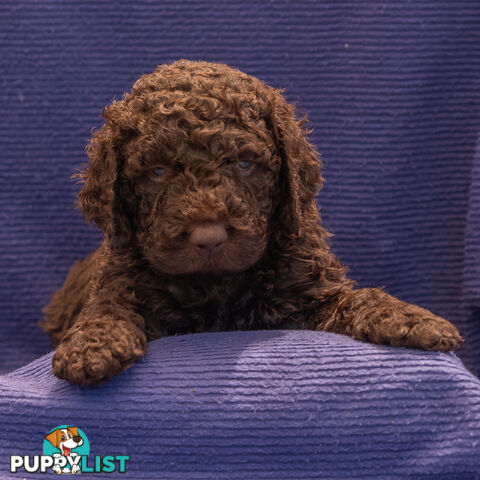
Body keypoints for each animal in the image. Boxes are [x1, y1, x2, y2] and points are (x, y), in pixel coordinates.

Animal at [40, 58, 462, 386]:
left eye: (244, 164)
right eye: (157, 171)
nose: (208, 237)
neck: (217, 287)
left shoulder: (309, 291)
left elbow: (357, 299)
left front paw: (410, 318)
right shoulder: (123, 280)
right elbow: (107, 306)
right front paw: (91, 345)